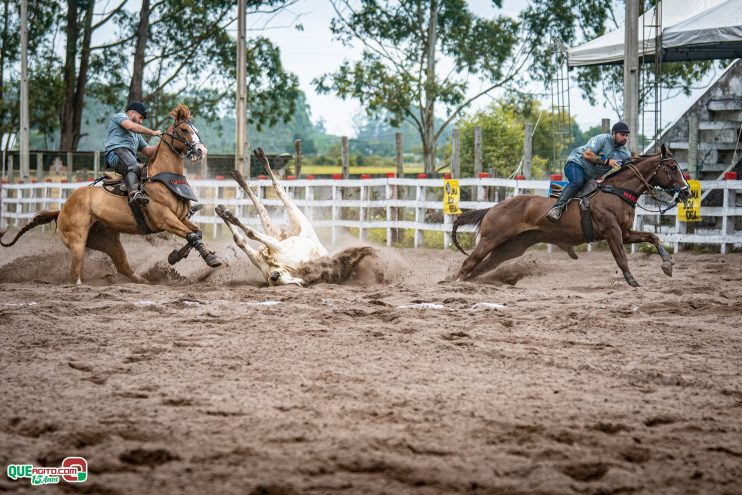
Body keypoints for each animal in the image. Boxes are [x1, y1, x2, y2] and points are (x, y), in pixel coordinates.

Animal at [0, 102, 221, 284]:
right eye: (184, 130)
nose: (201, 151)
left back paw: (146, 281)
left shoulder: (181, 218)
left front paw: (178, 256)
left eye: (195, 130)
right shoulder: (165, 219)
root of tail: (62, 209)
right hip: (78, 241)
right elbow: (191, 235)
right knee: (75, 272)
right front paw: (208, 258)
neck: (162, 176)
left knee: (123, 267)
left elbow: (196, 233)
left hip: (108, 240)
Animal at [454, 143, 692, 286]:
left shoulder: (625, 233)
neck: (616, 191)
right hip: (490, 239)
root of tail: (493, 208)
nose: (687, 191)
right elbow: (621, 258)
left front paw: (667, 264)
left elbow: (653, 237)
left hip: (512, 246)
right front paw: (632, 280)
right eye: (672, 167)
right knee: (468, 263)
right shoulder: (612, 232)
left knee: (481, 266)